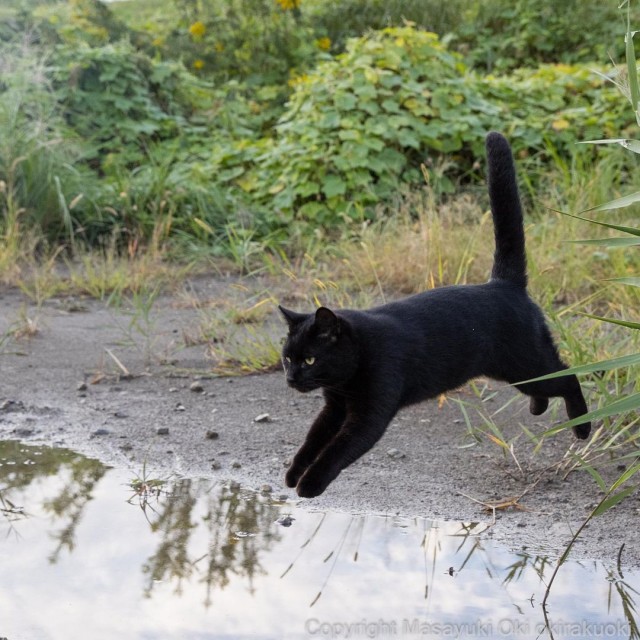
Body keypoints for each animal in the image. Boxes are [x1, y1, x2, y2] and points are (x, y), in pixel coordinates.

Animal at [280, 131, 592, 500]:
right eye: (287, 359)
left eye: (310, 360)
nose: (291, 378)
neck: (346, 377)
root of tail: (503, 284)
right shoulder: (334, 408)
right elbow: (312, 441)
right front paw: (293, 474)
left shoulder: (368, 416)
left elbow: (337, 450)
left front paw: (310, 484)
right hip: (517, 370)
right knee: (549, 382)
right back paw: (538, 407)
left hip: (527, 364)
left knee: (568, 376)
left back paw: (583, 427)